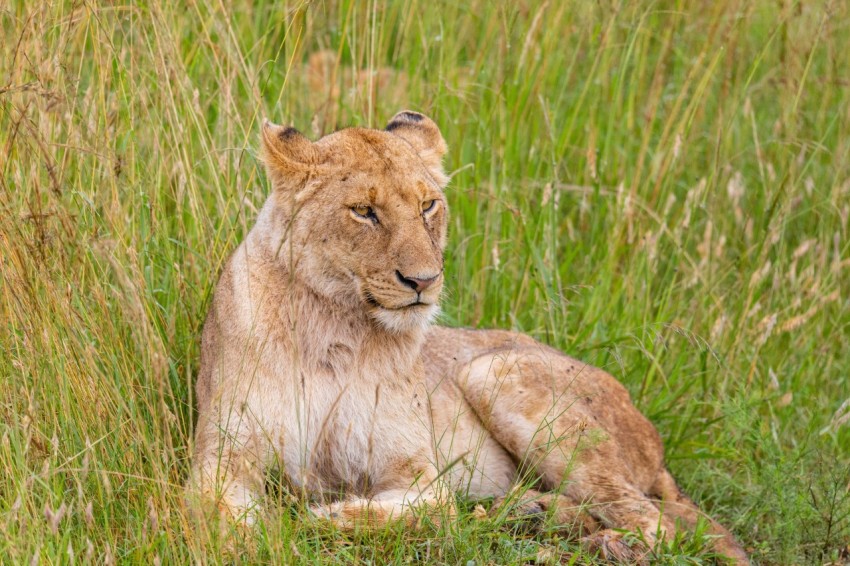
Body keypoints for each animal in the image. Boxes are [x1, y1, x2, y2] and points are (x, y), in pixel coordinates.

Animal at [189, 111, 744, 564]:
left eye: (428, 205)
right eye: (363, 211)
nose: (423, 281)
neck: (336, 329)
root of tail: (655, 443)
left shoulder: (417, 472)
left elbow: (431, 510)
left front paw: (331, 516)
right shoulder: (221, 460)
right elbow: (223, 522)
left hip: (496, 370)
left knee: (653, 523)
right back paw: (530, 513)